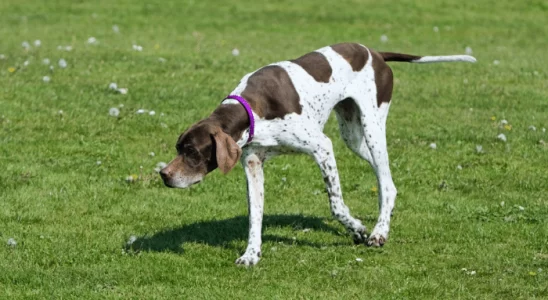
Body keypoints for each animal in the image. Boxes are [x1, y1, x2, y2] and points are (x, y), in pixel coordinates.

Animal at [158, 42, 476, 264]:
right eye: (178, 148)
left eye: (191, 151)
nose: (163, 175)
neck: (252, 109)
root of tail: (375, 52)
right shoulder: (252, 165)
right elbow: (255, 216)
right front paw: (251, 254)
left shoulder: (322, 147)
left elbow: (336, 205)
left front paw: (357, 228)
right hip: (353, 137)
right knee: (387, 180)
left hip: (372, 128)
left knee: (386, 183)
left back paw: (378, 232)